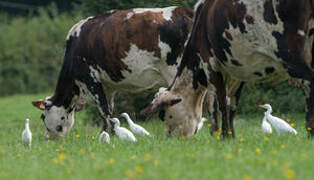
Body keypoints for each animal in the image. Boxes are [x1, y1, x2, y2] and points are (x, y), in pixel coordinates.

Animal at [30, 6, 200, 139]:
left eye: (42, 116)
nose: (48, 138)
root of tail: (184, 11)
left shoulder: (92, 80)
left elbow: (104, 111)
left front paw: (108, 136)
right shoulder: (108, 87)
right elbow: (109, 111)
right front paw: (108, 134)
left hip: (177, 70)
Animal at [141, 0, 314, 138]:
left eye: (164, 115)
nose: (170, 138)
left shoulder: (211, 66)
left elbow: (222, 103)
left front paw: (225, 136)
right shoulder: (238, 74)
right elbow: (232, 106)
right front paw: (231, 135)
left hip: (290, 50)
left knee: (309, 84)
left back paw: (310, 132)